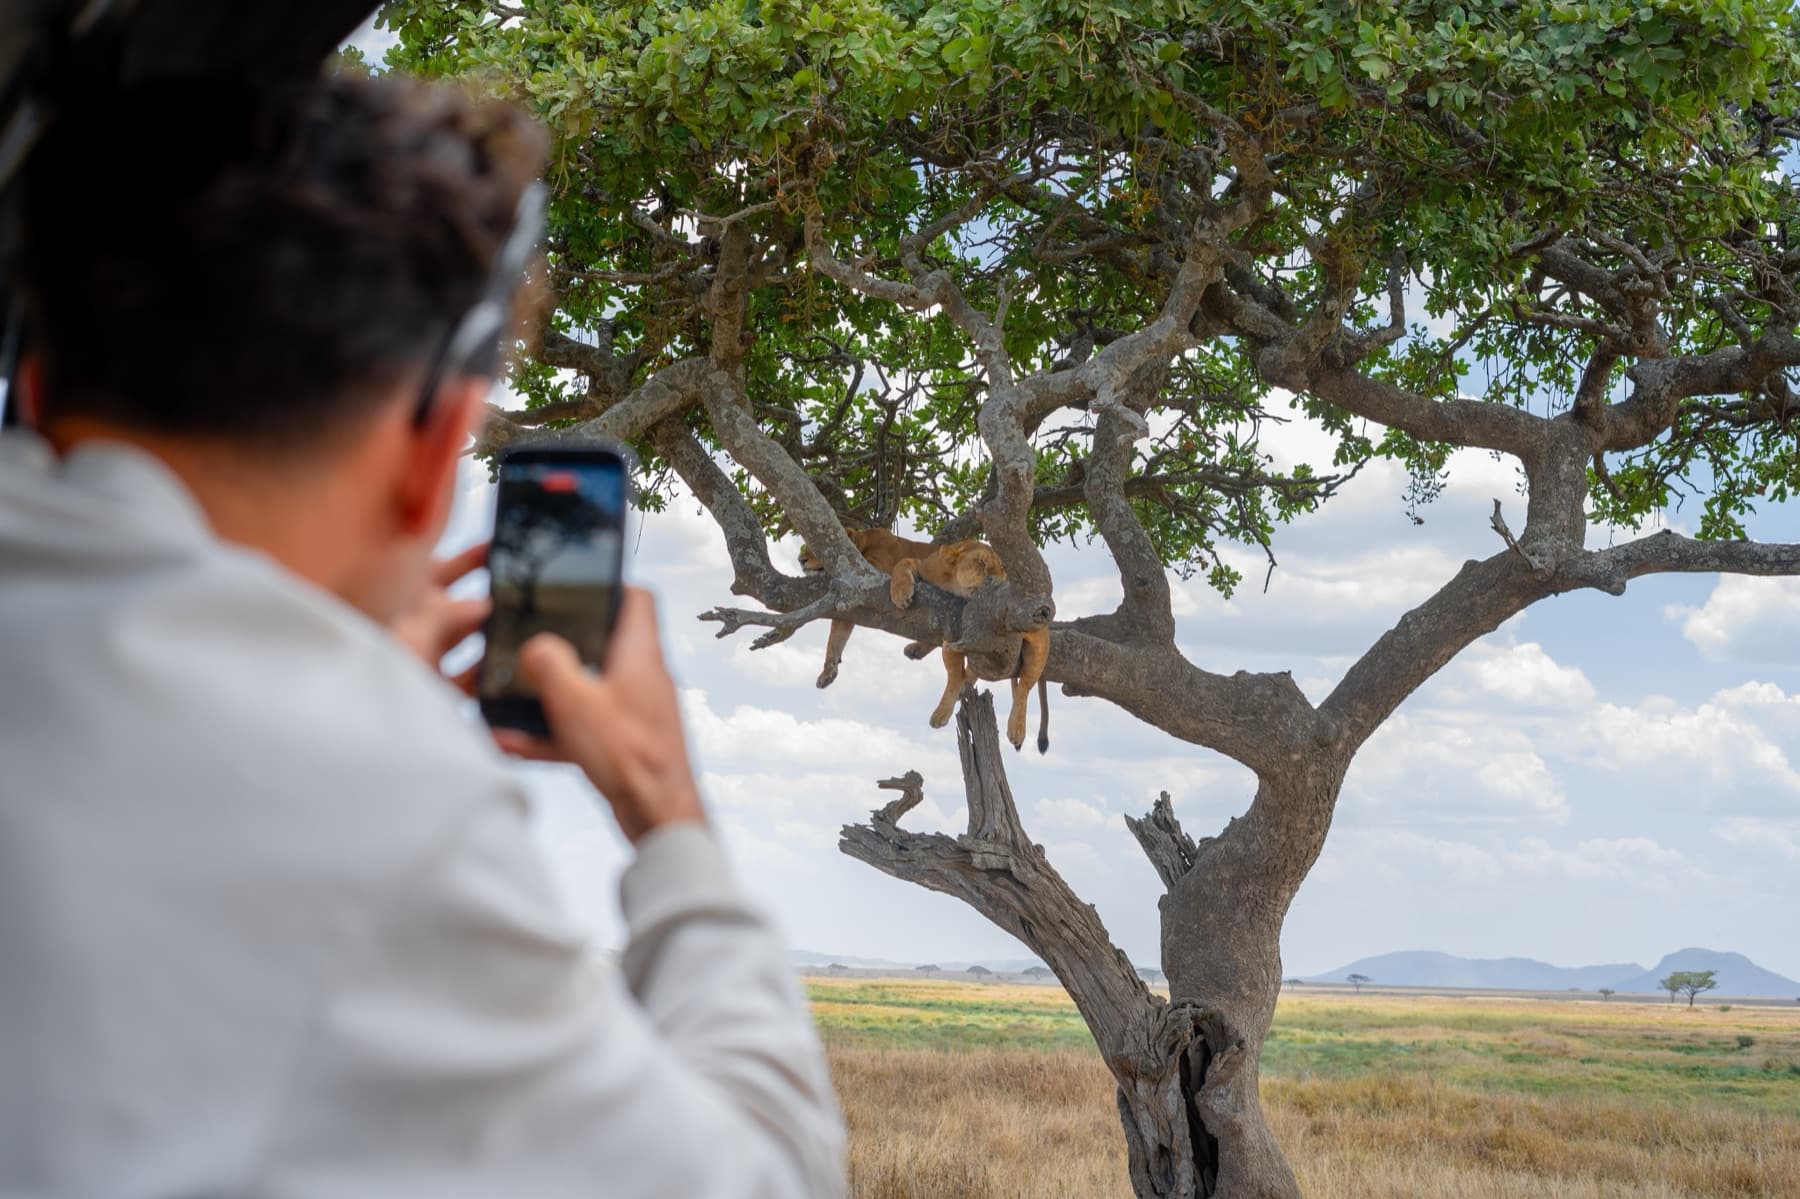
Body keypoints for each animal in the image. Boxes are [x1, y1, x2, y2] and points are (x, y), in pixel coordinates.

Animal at [800, 527, 1051, 753]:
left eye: (1002, 567)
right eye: (981, 564)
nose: (800, 559)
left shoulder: (871, 572)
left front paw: (899, 595)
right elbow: (836, 638)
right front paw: (827, 672)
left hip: (1035, 646)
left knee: (1023, 687)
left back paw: (1015, 728)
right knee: (958, 672)